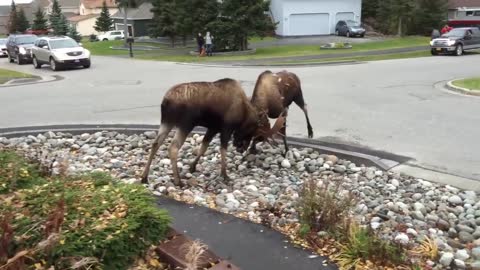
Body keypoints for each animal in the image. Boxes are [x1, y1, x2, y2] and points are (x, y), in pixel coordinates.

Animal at [141, 78, 286, 186]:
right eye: (253, 130)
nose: (241, 148)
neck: (244, 113)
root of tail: (166, 101)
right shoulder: (226, 128)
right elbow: (223, 149)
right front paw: (225, 175)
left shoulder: (213, 128)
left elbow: (203, 147)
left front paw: (192, 166)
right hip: (186, 123)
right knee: (173, 147)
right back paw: (178, 181)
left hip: (167, 122)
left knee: (155, 143)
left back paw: (144, 177)